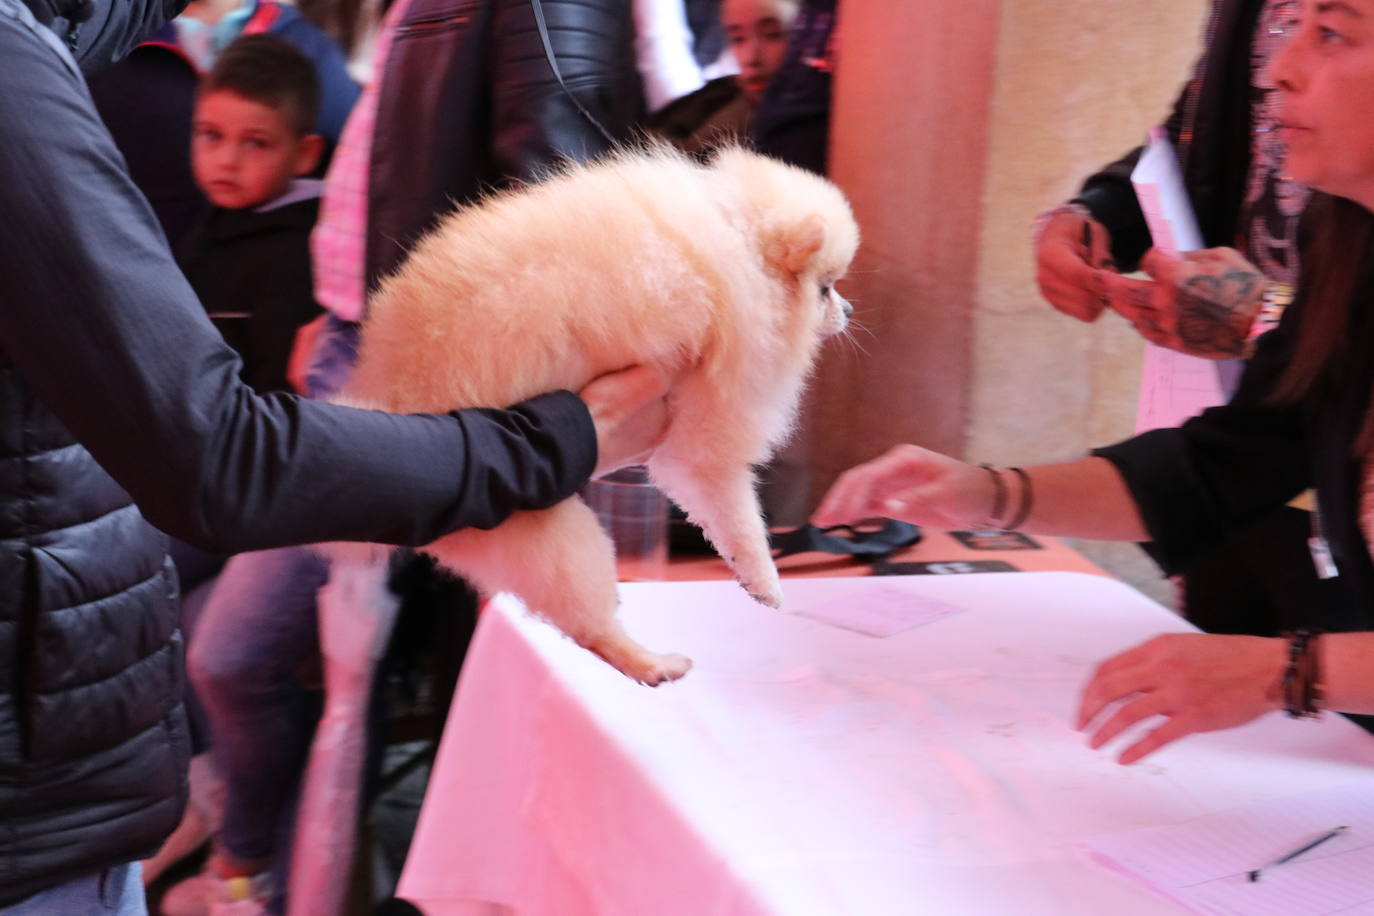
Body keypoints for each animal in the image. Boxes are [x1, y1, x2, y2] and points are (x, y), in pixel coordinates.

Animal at [329, 144, 857, 686]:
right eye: (825, 289)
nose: (849, 311)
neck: (741, 243)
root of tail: (393, 396)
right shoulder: (715, 409)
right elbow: (735, 511)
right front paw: (765, 579)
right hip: (554, 535)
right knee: (592, 624)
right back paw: (652, 663)